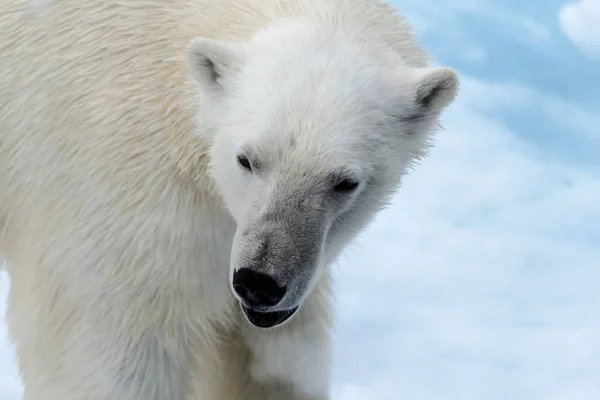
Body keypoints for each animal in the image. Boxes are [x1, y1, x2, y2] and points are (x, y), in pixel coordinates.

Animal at [1, 0, 460, 398]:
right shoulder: (113, 201)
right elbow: (107, 358)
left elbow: (273, 362)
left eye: (345, 182)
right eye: (247, 159)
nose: (260, 283)